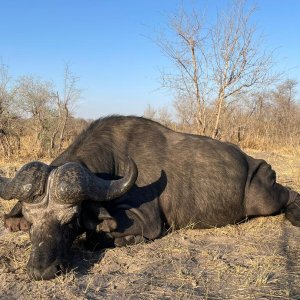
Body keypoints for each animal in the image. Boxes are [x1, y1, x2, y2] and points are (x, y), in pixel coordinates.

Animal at [0, 116, 300, 280]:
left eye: (70, 220)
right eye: (29, 222)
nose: (42, 271)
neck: (114, 163)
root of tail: (257, 164)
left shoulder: (148, 221)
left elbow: (95, 236)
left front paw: (124, 240)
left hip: (265, 198)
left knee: (289, 194)